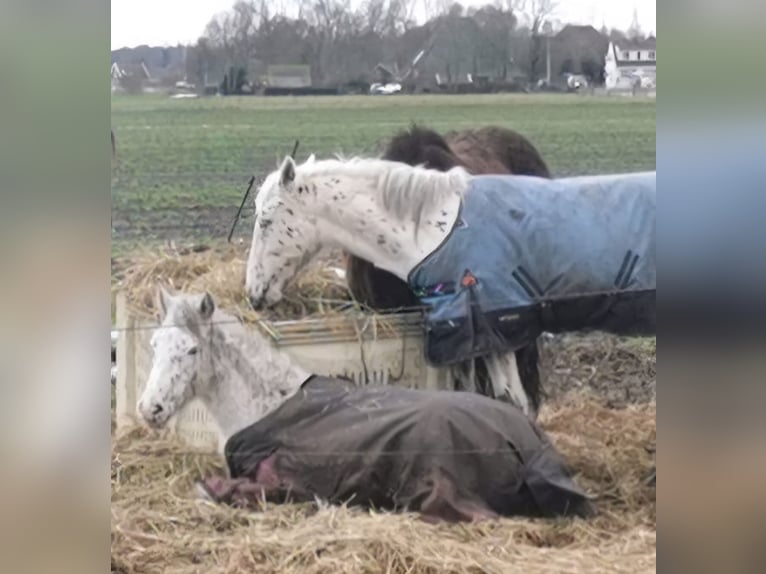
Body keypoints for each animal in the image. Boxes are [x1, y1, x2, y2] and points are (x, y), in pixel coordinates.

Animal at [138, 290, 592, 524]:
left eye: (192, 350)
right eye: (154, 343)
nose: (149, 409)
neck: (272, 403)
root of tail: (528, 444)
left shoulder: (277, 479)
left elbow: (210, 490)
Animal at [248, 155, 660, 420]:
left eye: (266, 220)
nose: (253, 294)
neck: (439, 232)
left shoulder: (497, 330)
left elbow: (513, 401)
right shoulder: (477, 339)